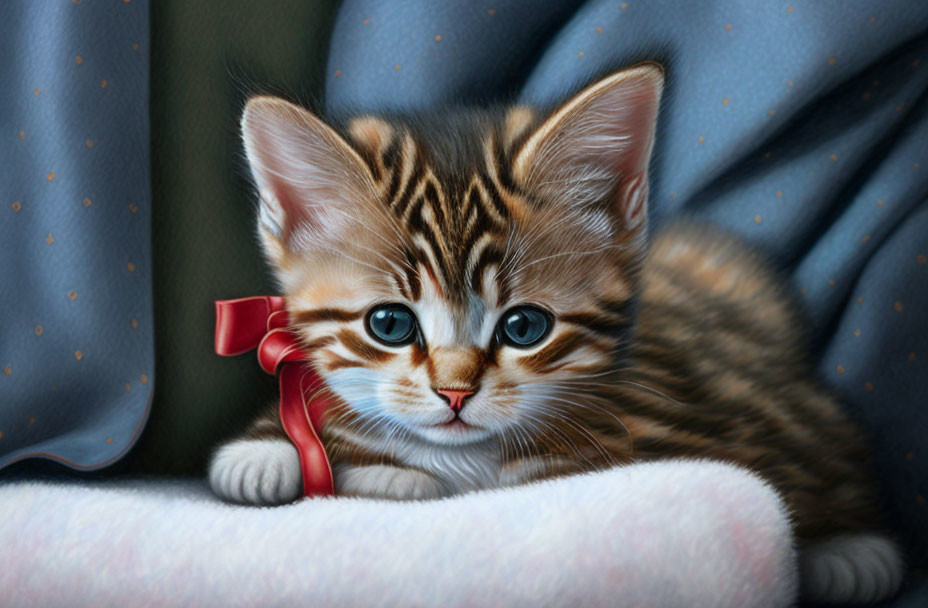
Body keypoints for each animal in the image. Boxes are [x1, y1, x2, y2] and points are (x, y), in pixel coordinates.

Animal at [208, 65, 900, 604]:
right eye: (390, 323)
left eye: (524, 327)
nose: (455, 394)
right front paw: (271, 451)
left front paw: (387, 476)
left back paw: (852, 553)